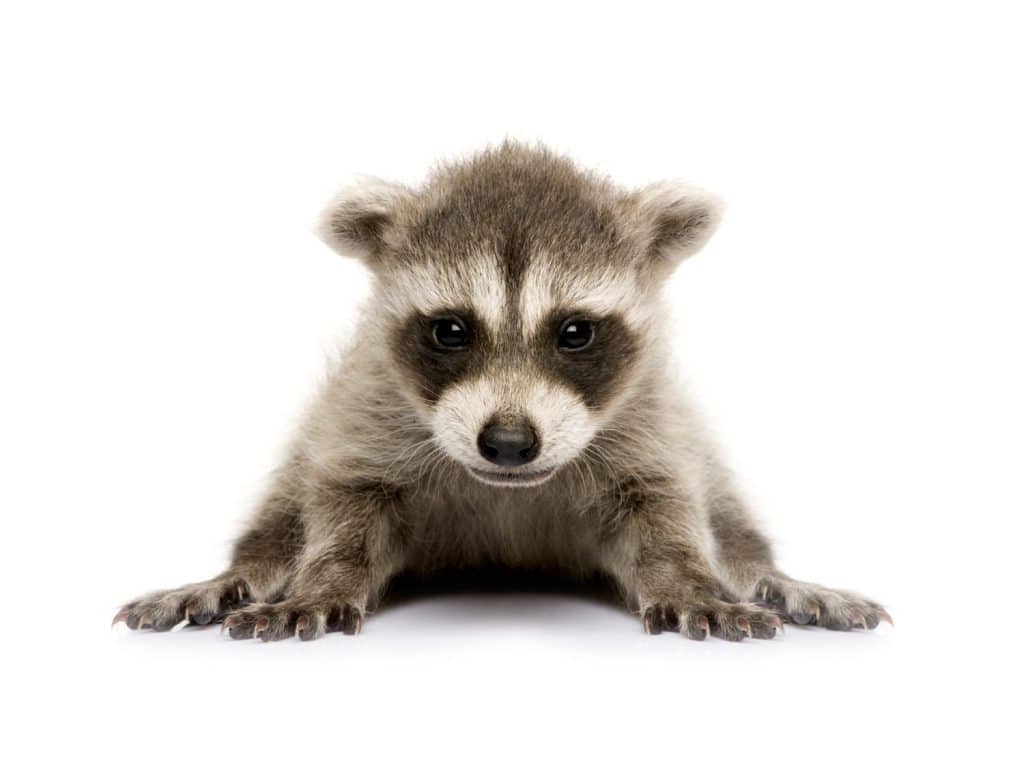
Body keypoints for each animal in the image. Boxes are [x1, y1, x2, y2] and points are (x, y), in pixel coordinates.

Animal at [114, 143, 890, 641]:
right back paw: (246, 570)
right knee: (282, 510)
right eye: (451, 330)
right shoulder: (366, 405)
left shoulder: (650, 417)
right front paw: (325, 579)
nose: (510, 443)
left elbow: (663, 509)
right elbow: (345, 504)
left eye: (574, 331)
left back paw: (765, 574)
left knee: (727, 518)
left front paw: (688, 580)